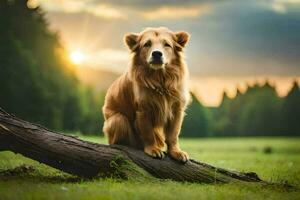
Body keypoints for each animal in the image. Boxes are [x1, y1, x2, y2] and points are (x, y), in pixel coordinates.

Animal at [103, 26, 190, 162]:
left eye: (167, 44)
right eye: (147, 44)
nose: (157, 53)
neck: (160, 79)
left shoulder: (177, 110)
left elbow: (173, 135)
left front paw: (175, 152)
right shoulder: (144, 110)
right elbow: (148, 133)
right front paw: (153, 149)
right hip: (118, 119)